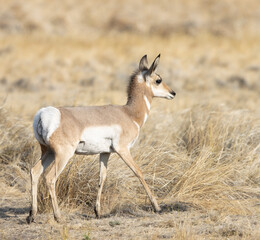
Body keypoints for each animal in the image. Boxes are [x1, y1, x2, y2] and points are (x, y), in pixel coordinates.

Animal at [26, 54, 175, 223]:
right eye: (158, 80)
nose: (173, 93)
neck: (129, 113)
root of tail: (45, 113)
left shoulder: (105, 153)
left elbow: (101, 177)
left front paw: (97, 211)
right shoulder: (123, 150)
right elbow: (138, 172)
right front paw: (157, 207)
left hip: (48, 152)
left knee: (35, 172)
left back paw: (32, 215)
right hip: (62, 155)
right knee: (50, 178)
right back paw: (58, 217)